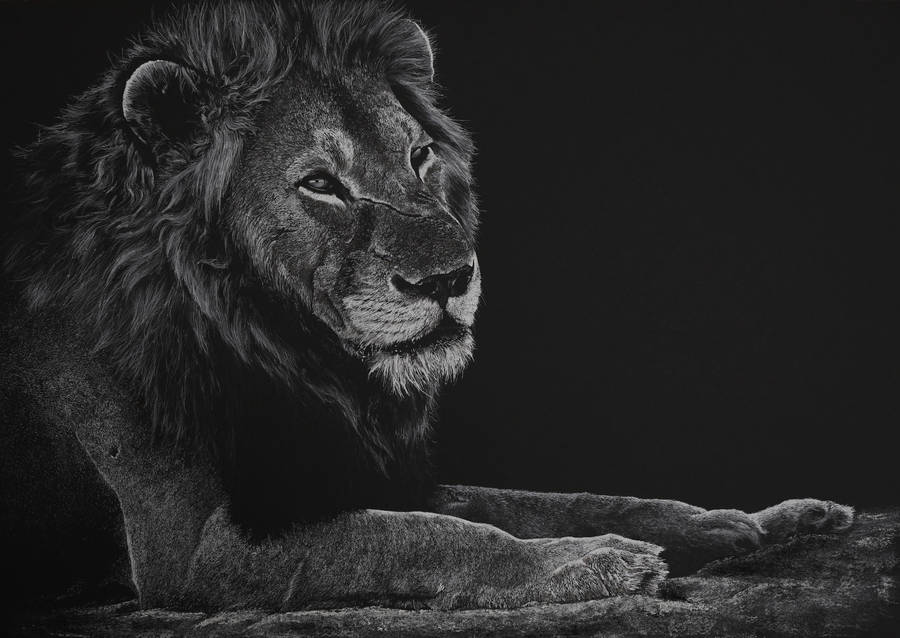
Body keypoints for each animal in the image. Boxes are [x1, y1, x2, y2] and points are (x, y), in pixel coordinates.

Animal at [0, 0, 854, 611]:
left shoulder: (363, 470)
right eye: (320, 184)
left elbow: (551, 499)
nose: (448, 278)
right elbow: (426, 535)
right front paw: (589, 562)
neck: (292, 356)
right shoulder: (194, 550)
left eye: (419, 155)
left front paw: (746, 523)